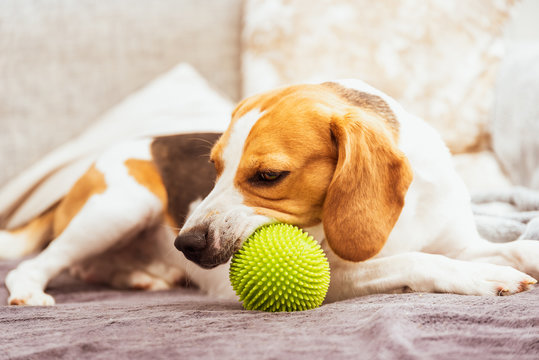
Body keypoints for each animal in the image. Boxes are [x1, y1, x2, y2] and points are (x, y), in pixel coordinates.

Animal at [2, 80, 536, 306]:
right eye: (214, 169)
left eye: (268, 176)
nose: (185, 243)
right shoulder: (335, 275)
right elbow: (417, 260)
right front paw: (483, 278)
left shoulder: (463, 242)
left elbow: (511, 248)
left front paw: (516, 257)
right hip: (122, 204)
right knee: (40, 264)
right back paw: (31, 292)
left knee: (88, 267)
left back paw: (143, 276)